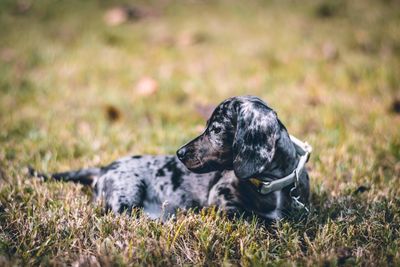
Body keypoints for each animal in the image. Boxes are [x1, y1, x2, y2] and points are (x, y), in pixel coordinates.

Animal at [30, 95, 312, 221]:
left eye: (216, 129)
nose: (179, 153)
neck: (271, 184)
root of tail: (103, 169)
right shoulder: (222, 201)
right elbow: (249, 216)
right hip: (128, 191)